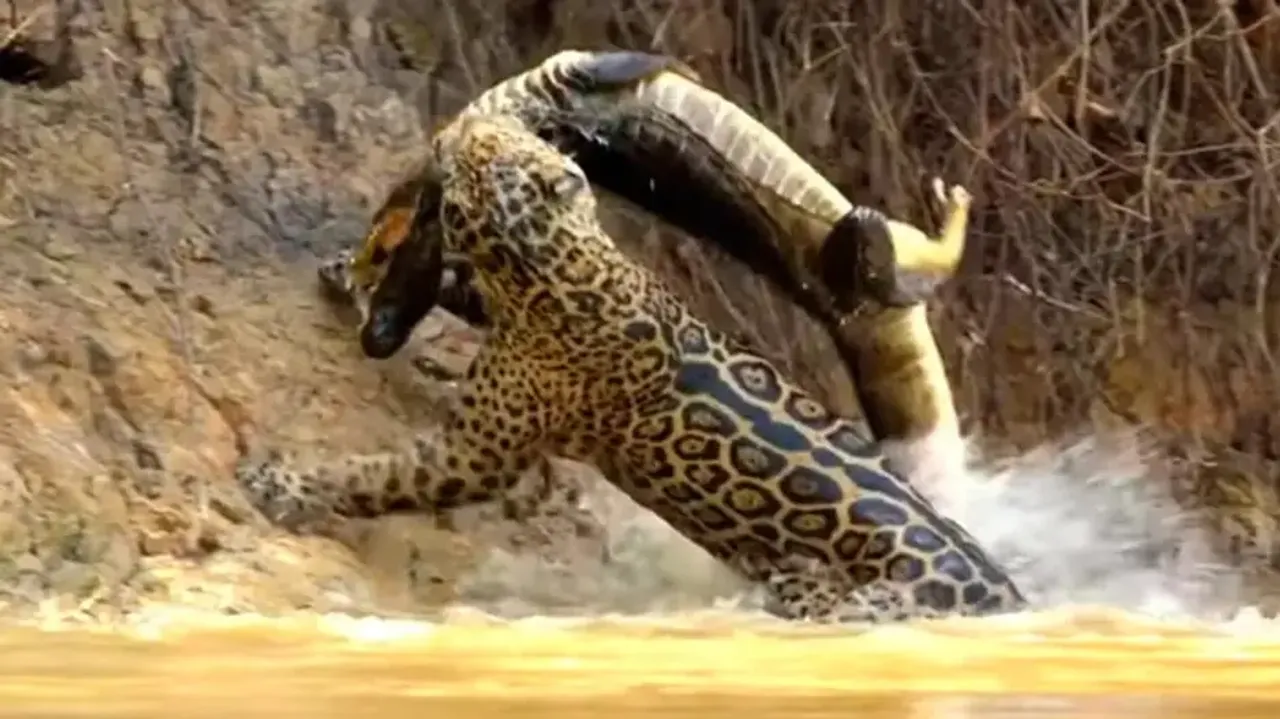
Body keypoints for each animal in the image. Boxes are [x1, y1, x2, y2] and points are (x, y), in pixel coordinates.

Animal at [238, 114, 1026, 623]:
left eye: (491, 146)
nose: (456, 129)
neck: (553, 262)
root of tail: (1006, 596)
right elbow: (457, 292)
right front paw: (352, 274)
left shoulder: (476, 454)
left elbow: (381, 475)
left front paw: (282, 483)